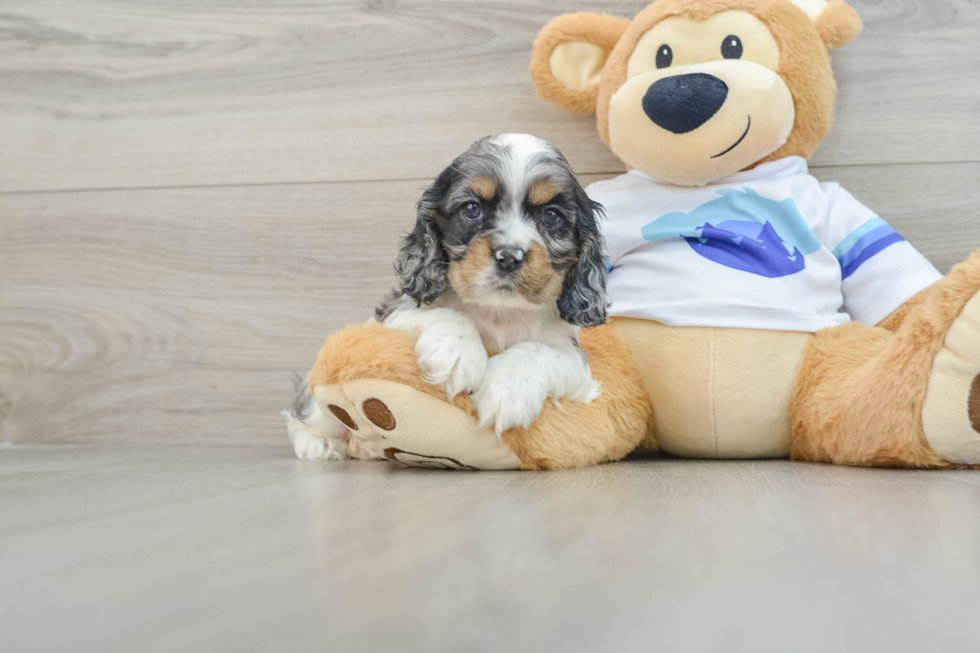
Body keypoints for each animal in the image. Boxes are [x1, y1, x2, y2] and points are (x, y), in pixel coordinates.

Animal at [286, 134, 604, 458]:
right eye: (472, 209)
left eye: (551, 216)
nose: (509, 256)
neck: (499, 310)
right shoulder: (393, 313)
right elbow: (446, 314)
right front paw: (456, 353)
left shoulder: (575, 362)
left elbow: (536, 350)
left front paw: (509, 389)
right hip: (318, 405)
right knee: (306, 415)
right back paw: (321, 444)